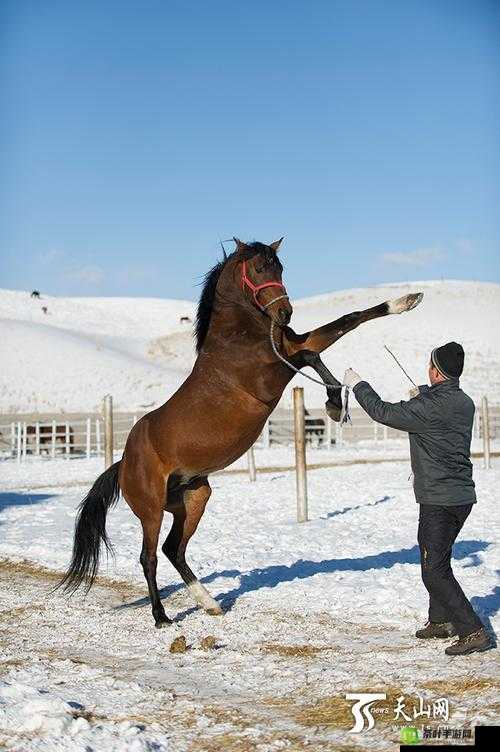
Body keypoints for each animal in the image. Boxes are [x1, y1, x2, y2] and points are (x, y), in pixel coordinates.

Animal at [60, 238, 424, 624]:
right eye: (259, 269)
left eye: (280, 268)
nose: (285, 313)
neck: (237, 338)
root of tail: (123, 463)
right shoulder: (273, 374)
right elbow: (311, 356)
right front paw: (334, 403)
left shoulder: (292, 344)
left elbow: (345, 322)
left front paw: (406, 301)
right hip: (151, 510)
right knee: (150, 557)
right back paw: (161, 617)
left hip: (193, 498)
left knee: (174, 549)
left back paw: (209, 603)